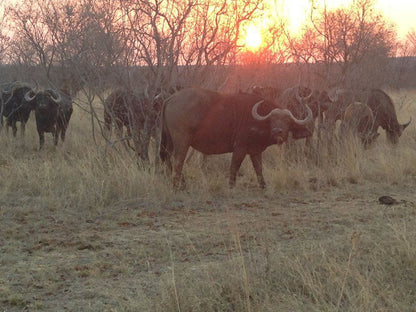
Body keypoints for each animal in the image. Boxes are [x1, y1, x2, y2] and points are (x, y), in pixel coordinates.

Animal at [159, 88, 312, 190]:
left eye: (287, 121)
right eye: (272, 120)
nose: (277, 131)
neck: (257, 121)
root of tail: (171, 98)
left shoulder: (255, 151)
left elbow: (259, 168)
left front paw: (263, 185)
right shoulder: (240, 148)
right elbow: (234, 167)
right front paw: (231, 186)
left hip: (170, 141)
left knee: (168, 158)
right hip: (182, 141)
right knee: (178, 161)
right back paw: (178, 186)